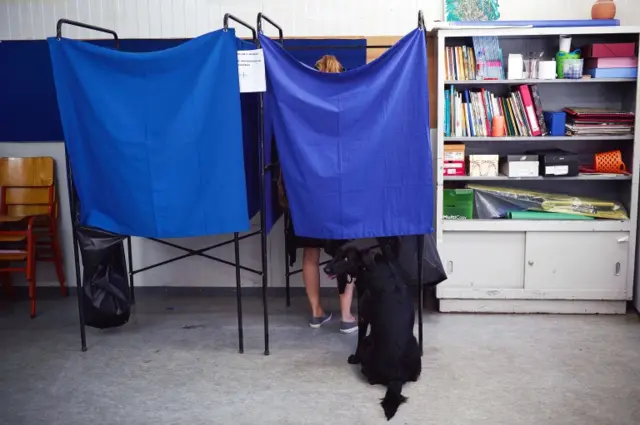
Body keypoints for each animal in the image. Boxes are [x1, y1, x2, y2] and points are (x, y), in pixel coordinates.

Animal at [324, 240, 420, 420]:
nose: (326, 269)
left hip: (369, 344)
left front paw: (354, 358)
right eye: (336, 255)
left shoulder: (363, 316)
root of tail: (396, 378)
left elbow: (359, 338)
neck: (371, 266)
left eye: (346, 258)